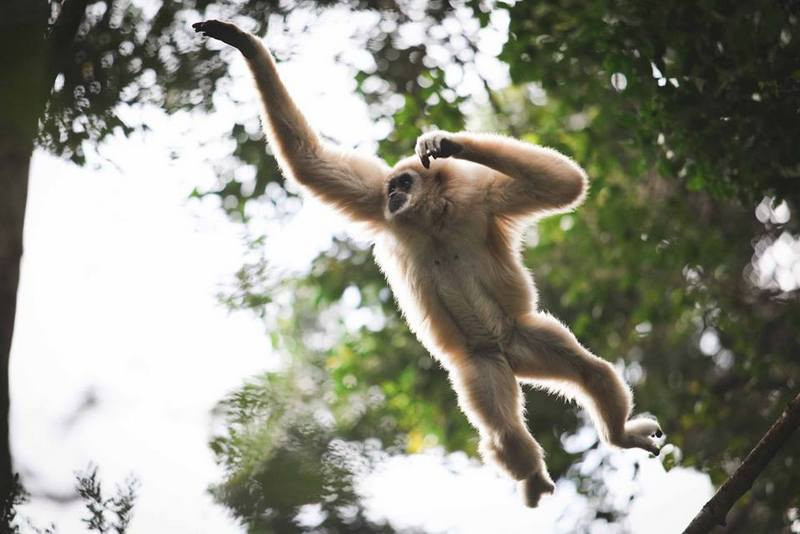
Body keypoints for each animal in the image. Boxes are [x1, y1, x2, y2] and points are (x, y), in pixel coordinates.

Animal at [192, 20, 663, 507]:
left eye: (403, 183)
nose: (394, 194)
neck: (433, 220)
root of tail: (509, 353)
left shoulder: (482, 198)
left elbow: (564, 183)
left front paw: (447, 142)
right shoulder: (379, 206)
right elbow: (310, 161)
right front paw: (243, 43)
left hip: (525, 336)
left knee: (593, 372)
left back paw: (617, 435)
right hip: (479, 364)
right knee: (507, 433)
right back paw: (537, 474)